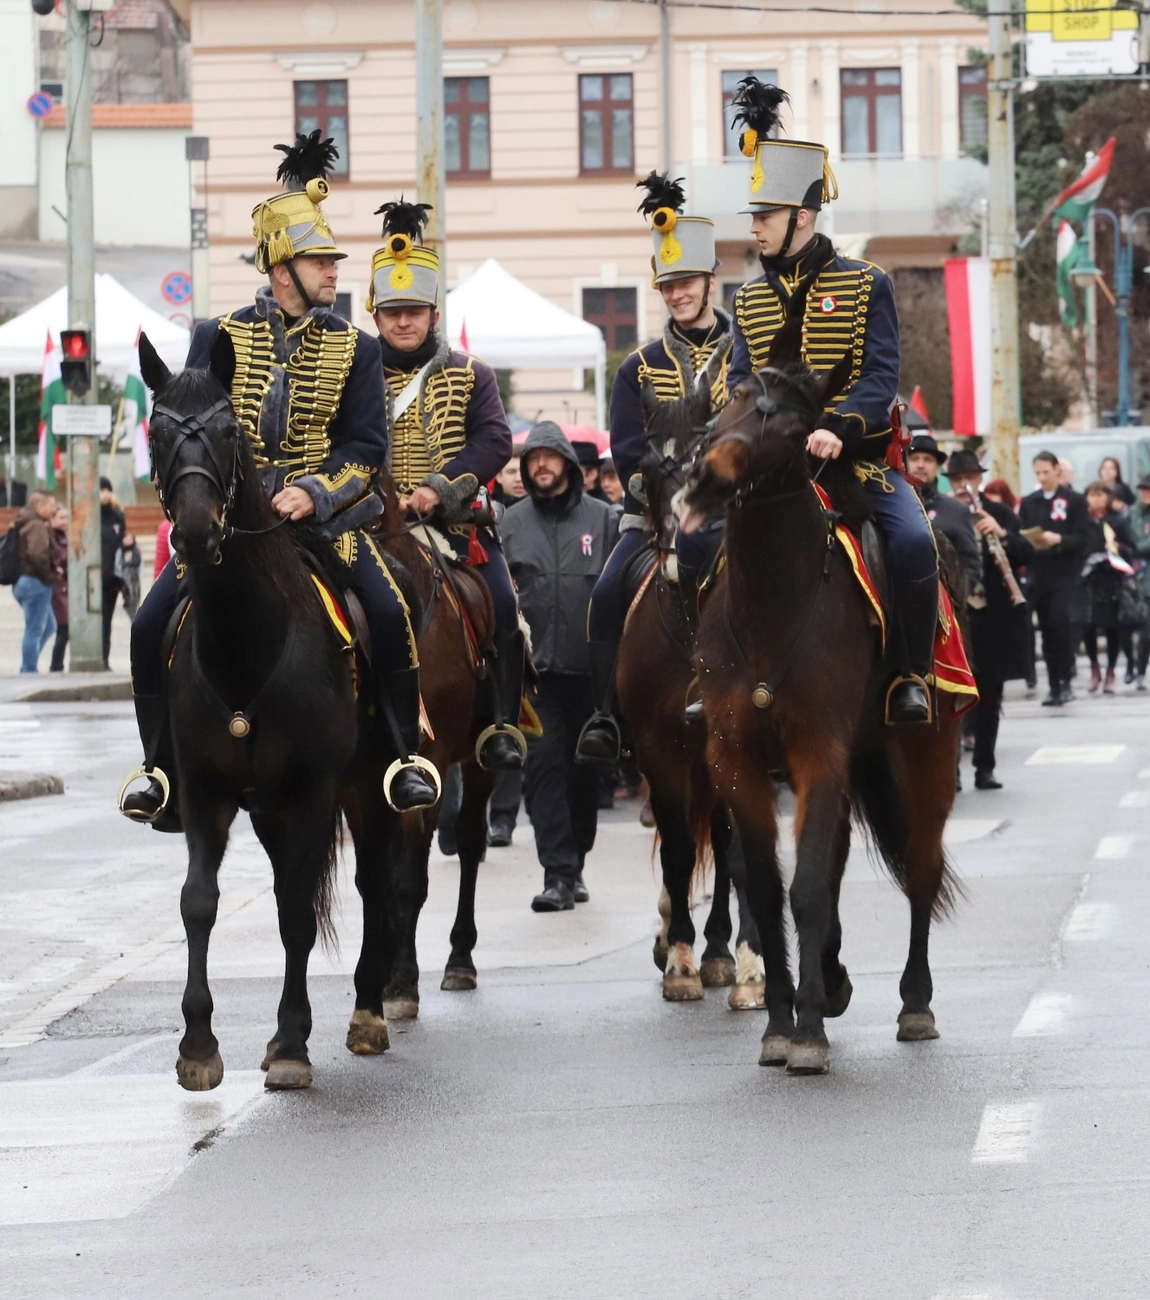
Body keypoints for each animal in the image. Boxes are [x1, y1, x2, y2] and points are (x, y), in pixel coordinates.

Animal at [136, 329, 401, 1091]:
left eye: (229, 431)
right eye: (156, 431)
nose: (195, 535)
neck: (248, 644)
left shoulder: (312, 790)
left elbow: (294, 914)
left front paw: (289, 1043)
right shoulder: (206, 790)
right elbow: (199, 900)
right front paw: (198, 1045)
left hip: (364, 788)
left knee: (371, 882)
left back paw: (366, 1011)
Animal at [679, 334, 964, 1076]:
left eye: (789, 428)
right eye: (730, 403)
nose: (705, 476)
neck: (772, 603)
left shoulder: (817, 751)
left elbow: (804, 888)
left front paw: (806, 1032)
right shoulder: (737, 760)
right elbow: (767, 887)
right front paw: (783, 1020)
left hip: (926, 752)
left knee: (920, 867)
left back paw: (914, 1003)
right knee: (834, 863)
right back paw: (831, 980)